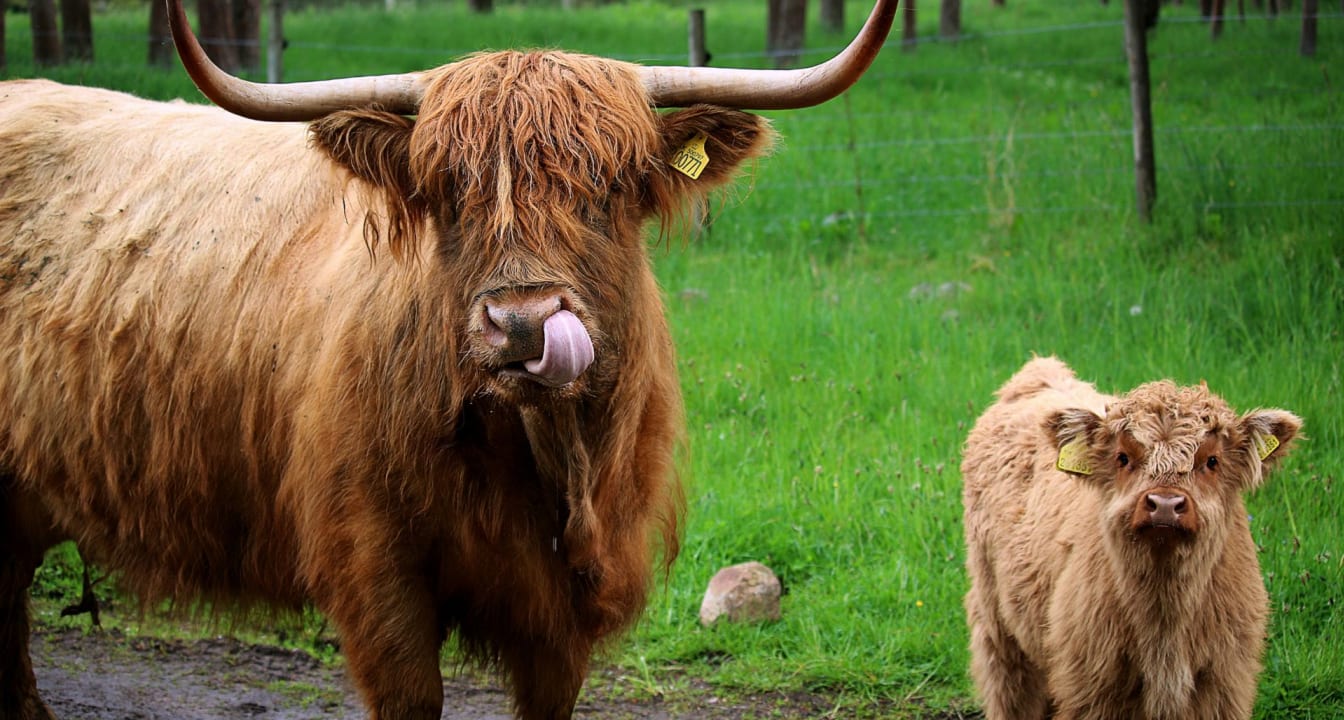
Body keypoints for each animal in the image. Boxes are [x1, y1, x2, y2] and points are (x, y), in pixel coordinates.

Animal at [0, 0, 896, 718]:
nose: (522, 323)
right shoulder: (376, 579)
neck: (547, 462)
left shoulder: (565, 614)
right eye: (449, 192)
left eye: (609, 188)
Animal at [961, 356, 1300, 720]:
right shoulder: (1092, 684)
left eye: (1212, 461)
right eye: (1123, 457)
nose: (1165, 504)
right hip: (996, 619)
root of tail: (1041, 372)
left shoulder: (1223, 682)